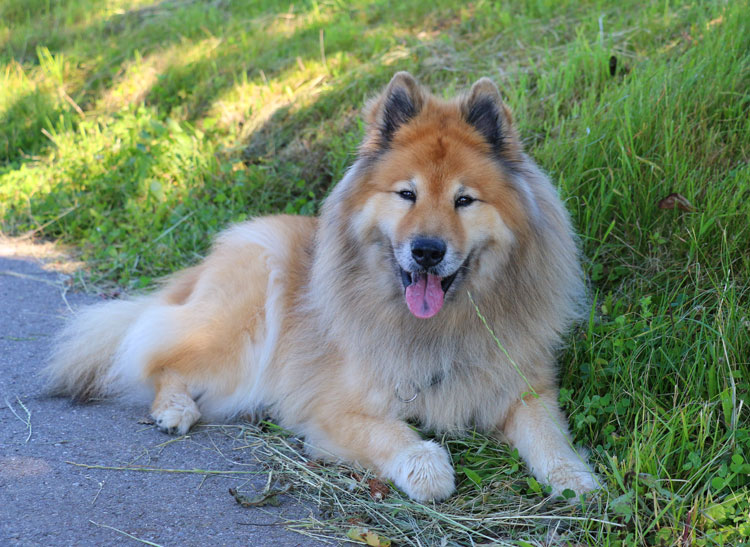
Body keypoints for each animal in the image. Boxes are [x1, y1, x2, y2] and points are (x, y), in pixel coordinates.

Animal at [47, 74, 600, 506]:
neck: (438, 326)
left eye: (464, 200)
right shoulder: (333, 407)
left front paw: (576, 479)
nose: (426, 250)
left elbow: (549, 436)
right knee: (158, 358)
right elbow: (393, 433)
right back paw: (175, 409)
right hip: (240, 329)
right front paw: (427, 466)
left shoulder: (525, 388)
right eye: (407, 194)